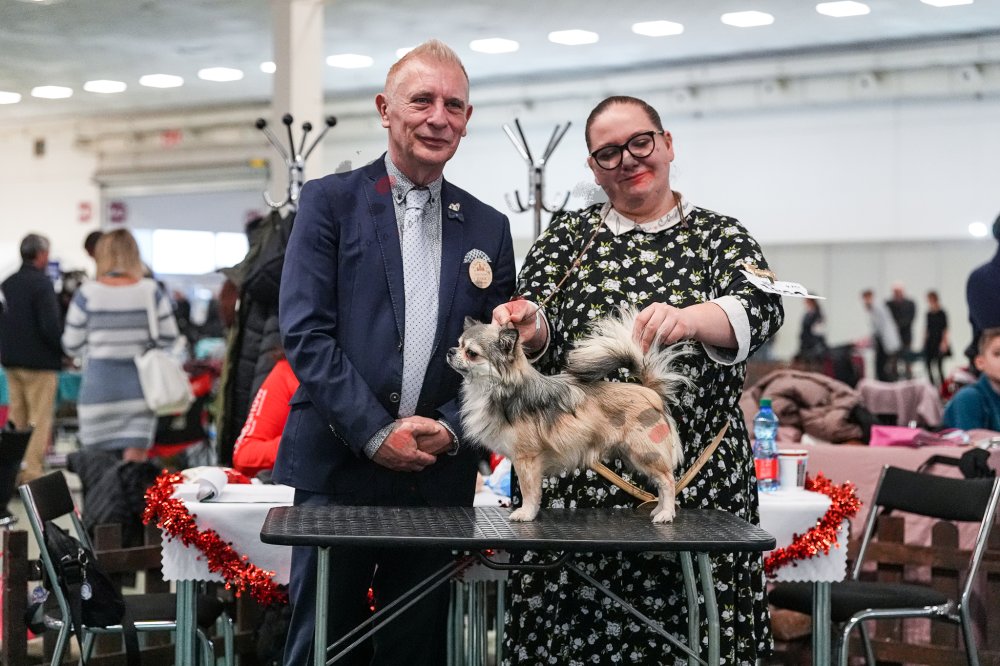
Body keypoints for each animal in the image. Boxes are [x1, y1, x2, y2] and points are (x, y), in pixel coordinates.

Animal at [446, 307, 690, 523]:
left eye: (471, 353)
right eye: (459, 343)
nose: (450, 351)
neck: (495, 389)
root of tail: (650, 392)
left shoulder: (527, 460)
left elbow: (529, 491)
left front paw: (526, 514)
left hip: (644, 453)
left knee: (668, 481)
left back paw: (666, 514)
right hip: (633, 455)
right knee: (662, 482)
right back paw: (659, 509)